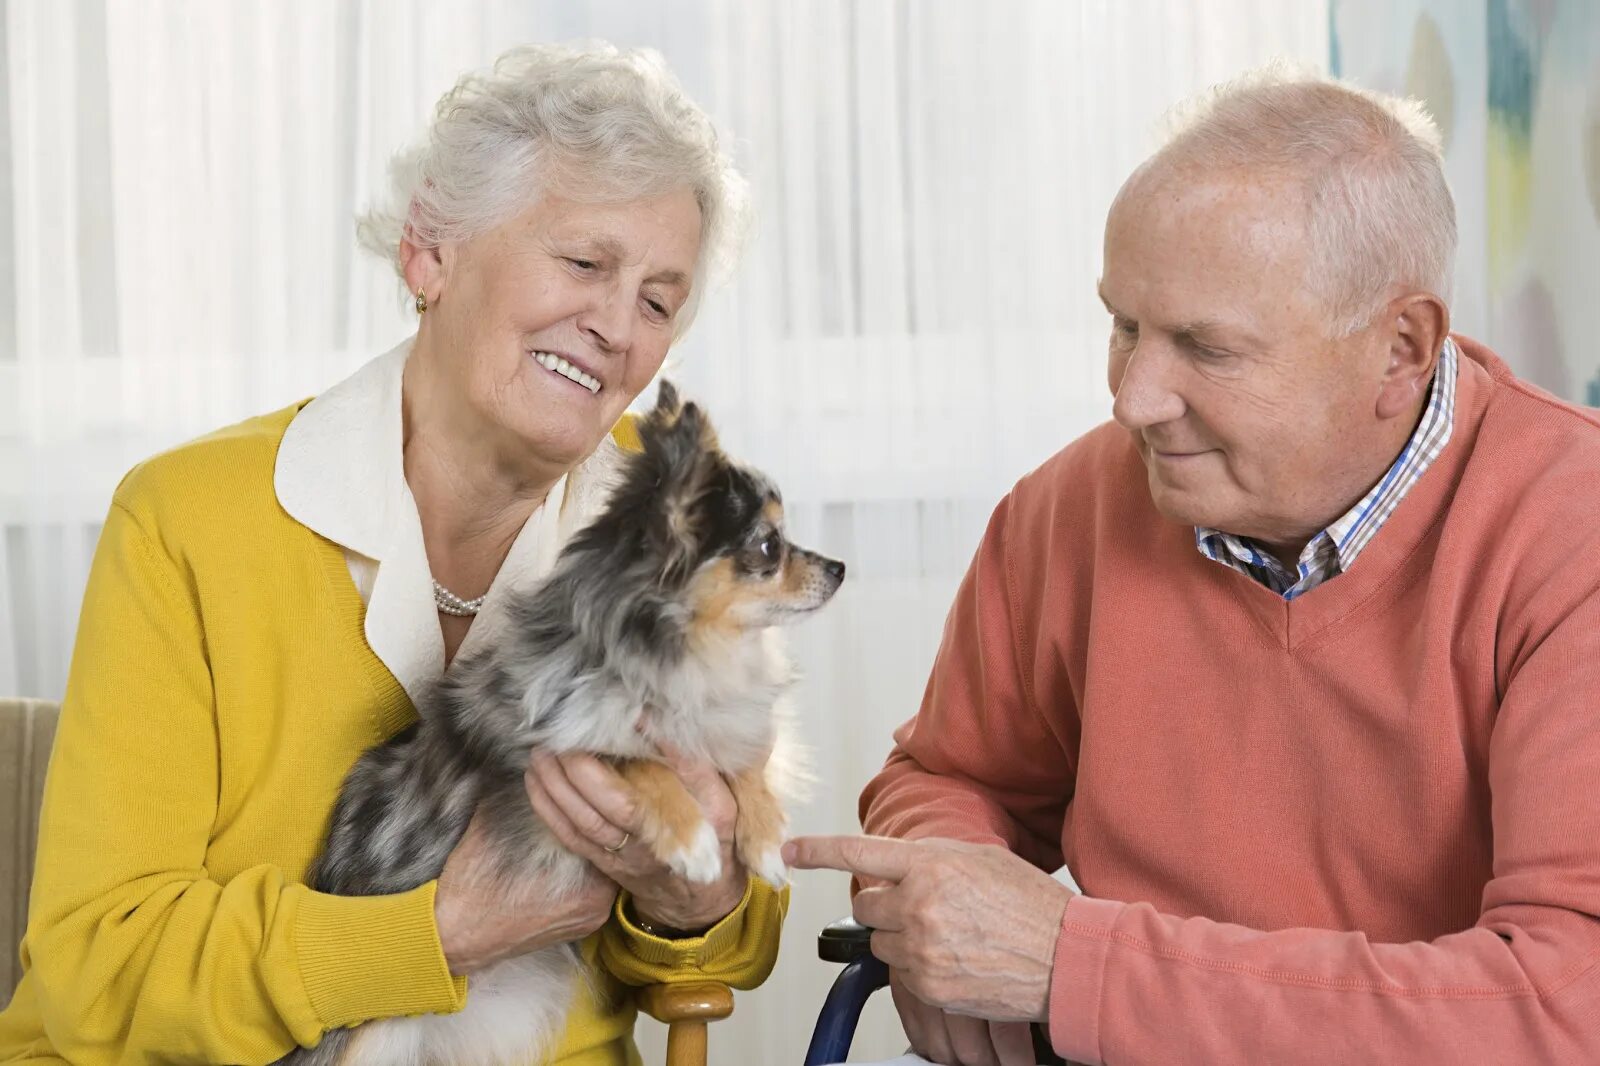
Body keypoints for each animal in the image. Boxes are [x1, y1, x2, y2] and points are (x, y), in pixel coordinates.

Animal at [280, 384, 844, 1062]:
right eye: (767, 547)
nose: (839, 568)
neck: (684, 650)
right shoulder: (544, 756)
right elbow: (640, 763)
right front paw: (693, 842)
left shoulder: (718, 723)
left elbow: (742, 765)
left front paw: (763, 842)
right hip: (372, 1040)